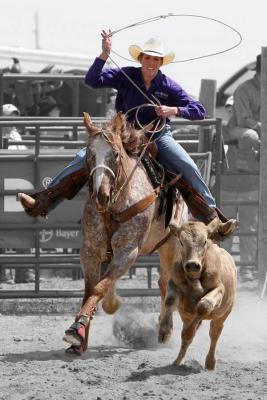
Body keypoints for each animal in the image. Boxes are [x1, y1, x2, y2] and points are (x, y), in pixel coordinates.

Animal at [63, 111, 188, 352]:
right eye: (90, 154)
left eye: (116, 154)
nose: (101, 195)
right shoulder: (90, 250)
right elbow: (91, 290)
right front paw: (80, 336)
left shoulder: (128, 251)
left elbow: (99, 289)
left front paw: (78, 328)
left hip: (171, 246)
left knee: (166, 284)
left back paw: (164, 331)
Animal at [158, 217, 238, 370]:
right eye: (181, 241)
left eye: (205, 241)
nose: (192, 265)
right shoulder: (174, 284)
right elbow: (169, 302)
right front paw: (164, 332)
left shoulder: (219, 289)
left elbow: (203, 307)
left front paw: (188, 332)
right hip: (186, 314)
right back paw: (178, 360)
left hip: (224, 313)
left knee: (214, 333)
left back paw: (210, 362)